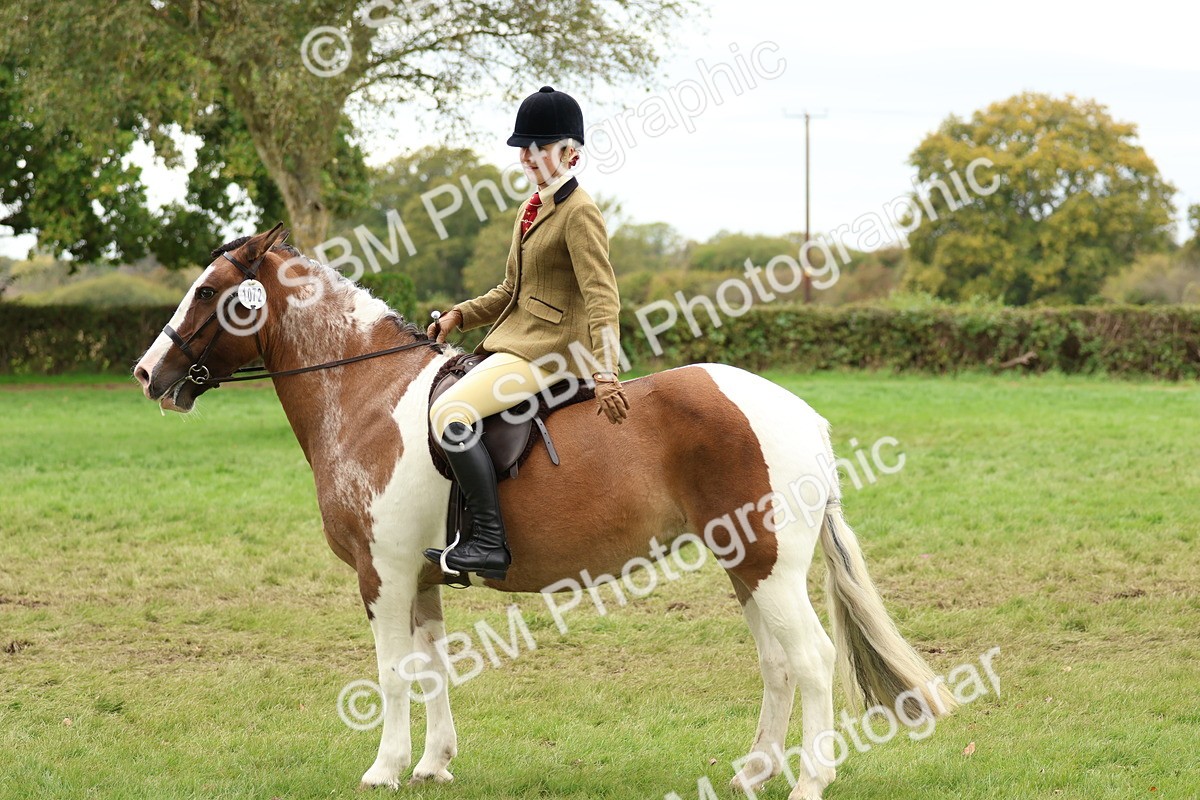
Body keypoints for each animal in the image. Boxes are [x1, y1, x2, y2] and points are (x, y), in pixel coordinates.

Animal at [133, 225, 955, 800]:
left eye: (207, 291)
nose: (147, 374)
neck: (367, 395)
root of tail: (800, 415)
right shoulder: (421, 577)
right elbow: (433, 667)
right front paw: (434, 764)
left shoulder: (383, 572)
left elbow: (393, 673)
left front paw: (384, 768)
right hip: (747, 566)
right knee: (777, 663)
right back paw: (752, 771)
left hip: (769, 567)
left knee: (811, 660)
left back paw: (809, 780)